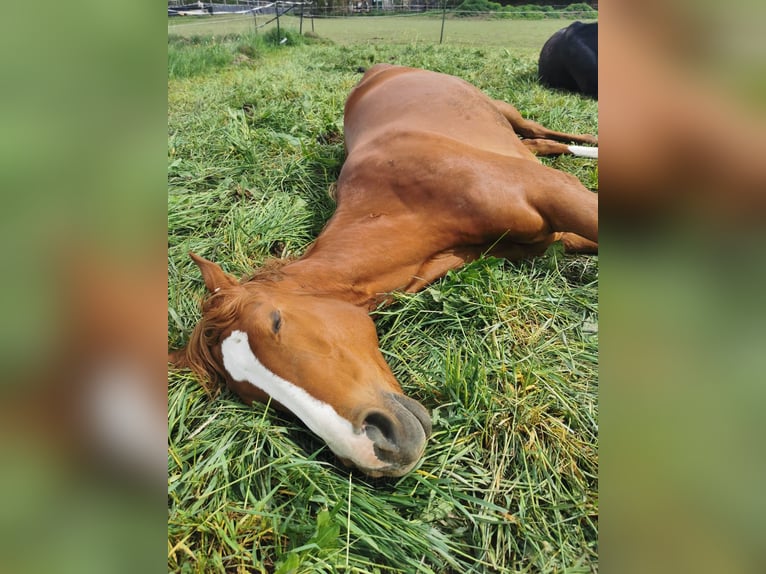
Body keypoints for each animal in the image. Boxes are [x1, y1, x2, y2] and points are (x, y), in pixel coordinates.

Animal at [170, 63, 600, 480]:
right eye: (254, 397)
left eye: (275, 322)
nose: (375, 449)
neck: (404, 198)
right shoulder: (555, 240)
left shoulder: (556, 192)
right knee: (539, 144)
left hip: (506, 110)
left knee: (543, 132)